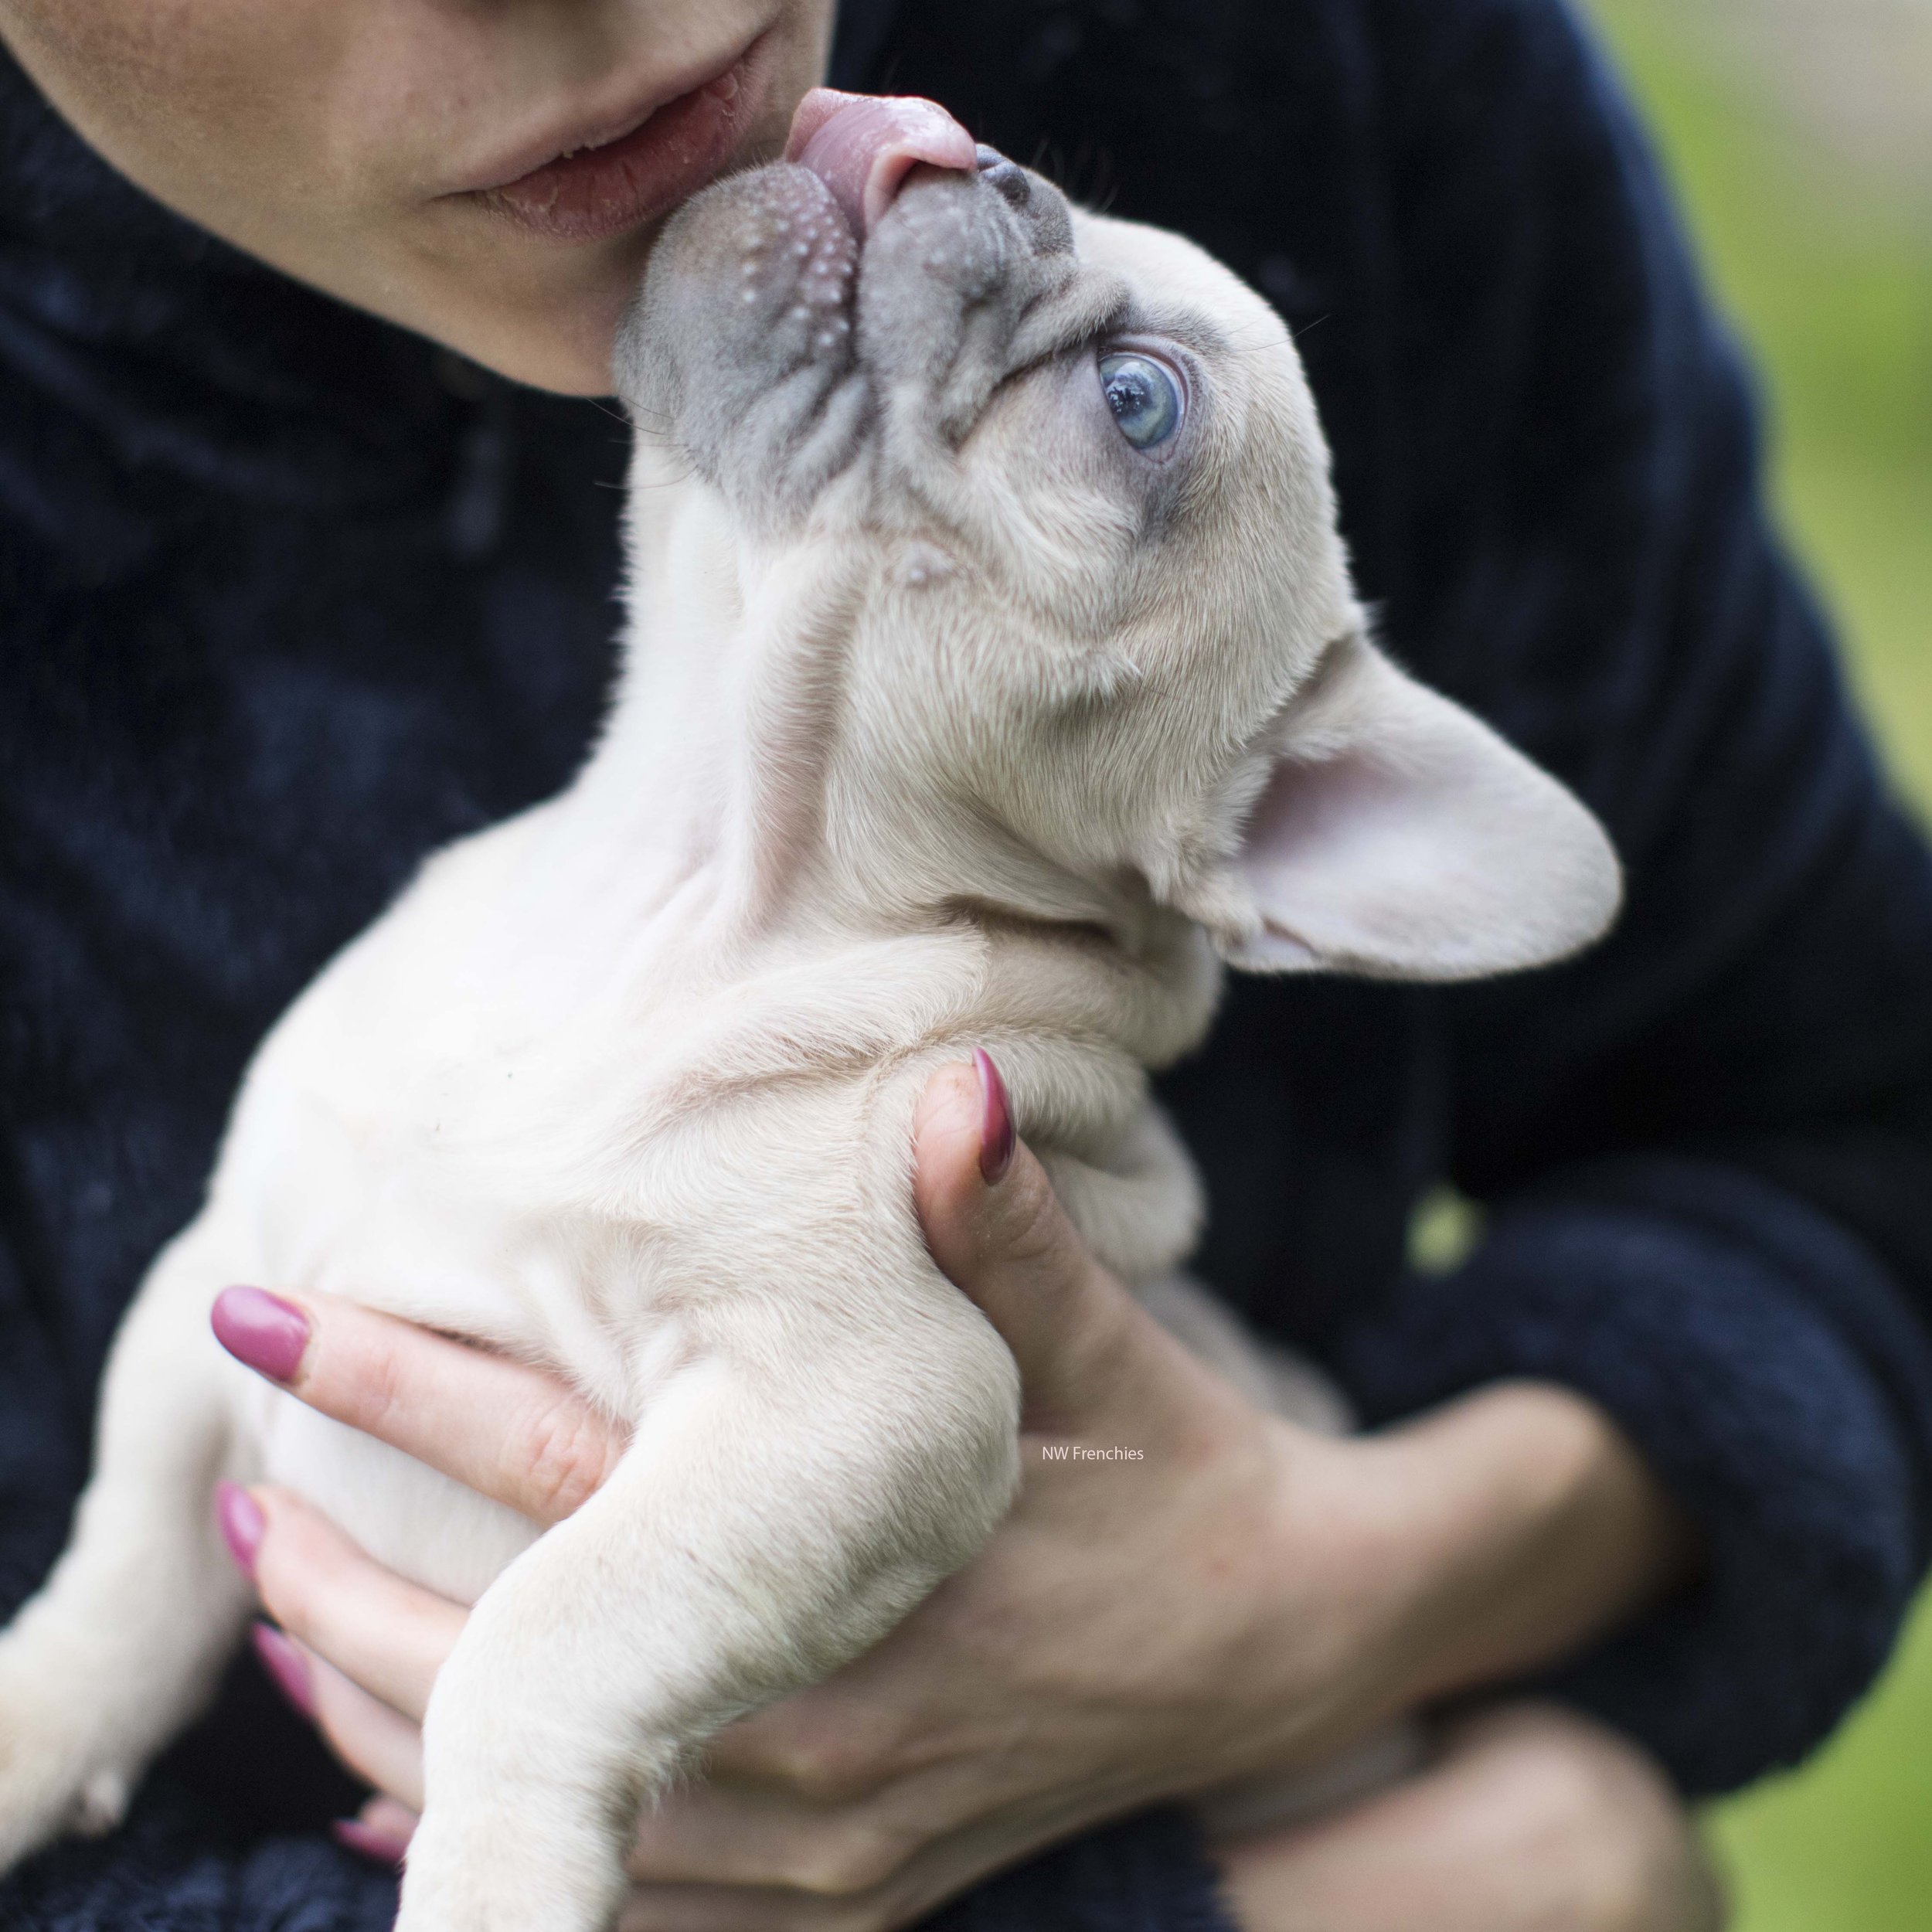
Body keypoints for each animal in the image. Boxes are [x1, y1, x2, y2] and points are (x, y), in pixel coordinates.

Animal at [0, 90, 1615, 1932]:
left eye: (1138, 403)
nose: (965, 151)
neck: (664, 878)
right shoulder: (221, 1267)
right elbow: (131, 1542)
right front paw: (34, 1728)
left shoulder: (860, 1406)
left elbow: (541, 1639)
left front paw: (485, 1881)